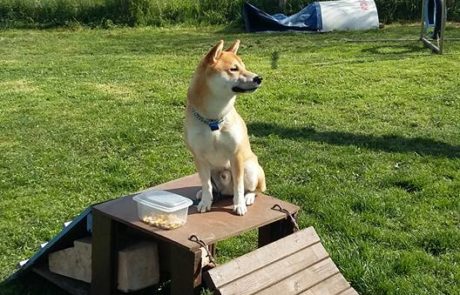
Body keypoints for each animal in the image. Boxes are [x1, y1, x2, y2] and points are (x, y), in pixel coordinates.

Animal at [184, 39, 266, 216]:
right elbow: (206, 184)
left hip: (250, 168)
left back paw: (248, 197)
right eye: (233, 69)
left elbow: (239, 186)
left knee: (254, 189)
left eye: (244, 66)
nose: (259, 78)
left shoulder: (235, 155)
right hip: (212, 170)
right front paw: (205, 202)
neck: (213, 119)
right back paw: (205, 194)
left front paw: (239, 204)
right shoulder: (199, 157)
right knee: (212, 187)